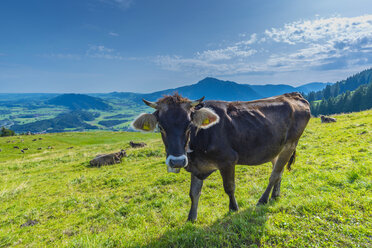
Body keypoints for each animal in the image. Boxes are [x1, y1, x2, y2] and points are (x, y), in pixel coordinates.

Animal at [134, 93, 310, 221]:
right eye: (161, 127)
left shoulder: (228, 160)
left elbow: (229, 187)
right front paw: (191, 218)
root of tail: (293, 95)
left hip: (290, 144)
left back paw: (263, 199)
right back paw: (275, 195)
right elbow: (193, 193)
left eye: (189, 124)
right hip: (276, 148)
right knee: (278, 172)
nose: (177, 161)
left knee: (274, 175)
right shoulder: (196, 165)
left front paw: (234, 208)